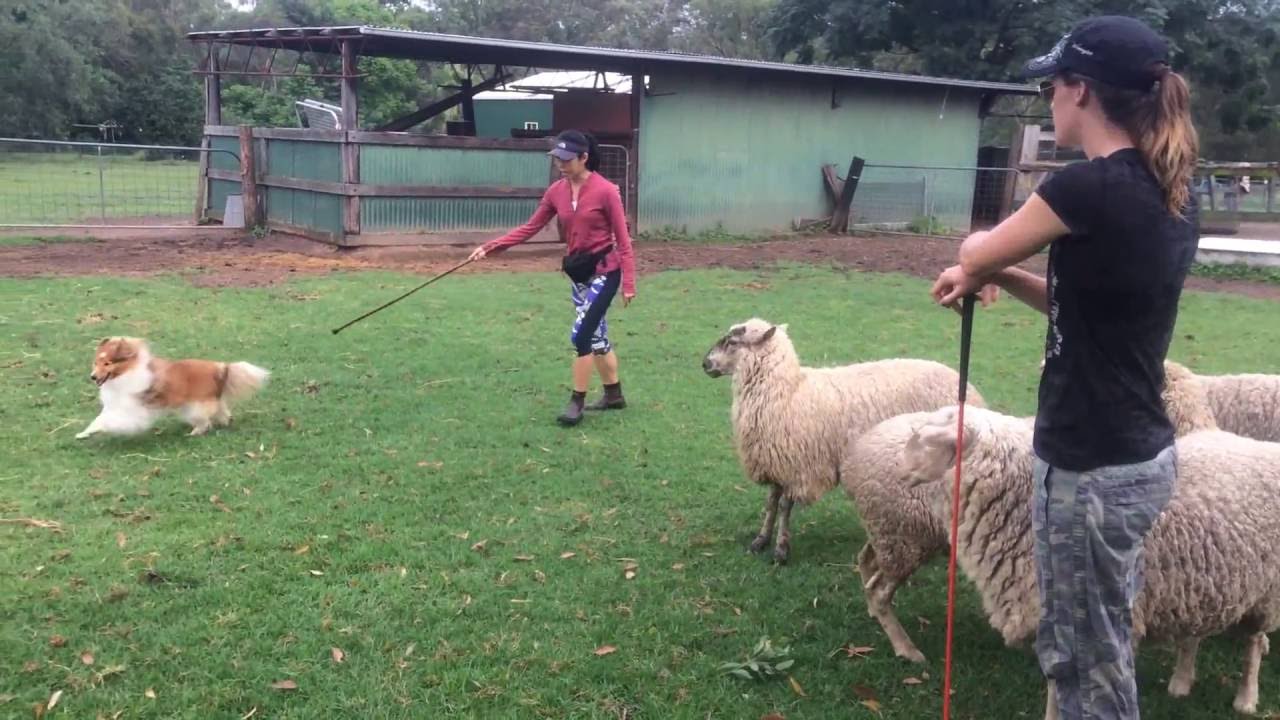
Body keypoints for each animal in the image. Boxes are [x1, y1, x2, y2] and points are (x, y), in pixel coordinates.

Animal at [74, 335, 270, 438]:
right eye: (96, 362)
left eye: (107, 363)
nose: (92, 377)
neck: (126, 372)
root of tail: (220, 367)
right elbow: (98, 419)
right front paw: (84, 433)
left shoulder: (133, 408)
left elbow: (107, 421)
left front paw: (99, 430)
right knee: (221, 412)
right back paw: (224, 422)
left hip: (195, 406)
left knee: (205, 421)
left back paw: (195, 432)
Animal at [701, 316, 977, 563]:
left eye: (732, 341)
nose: (705, 364)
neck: (788, 390)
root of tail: (968, 389)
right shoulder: (775, 461)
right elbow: (770, 503)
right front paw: (761, 540)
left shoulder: (798, 467)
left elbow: (784, 507)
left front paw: (781, 550)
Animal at [906, 407, 1280, 712]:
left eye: (926, 438)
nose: (901, 466)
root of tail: (1258, 445)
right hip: (1203, 584)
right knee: (1195, 631)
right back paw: (1181, 682)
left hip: (1266, 593)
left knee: (1253, 643)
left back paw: (1246, 698)